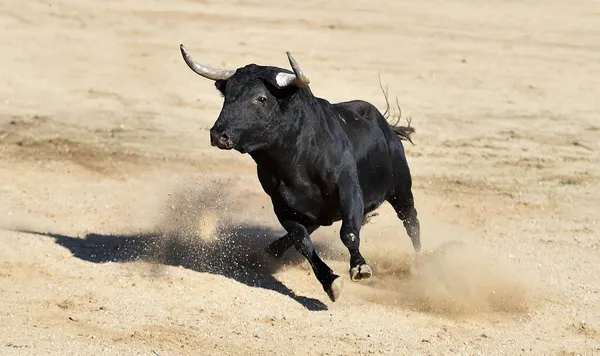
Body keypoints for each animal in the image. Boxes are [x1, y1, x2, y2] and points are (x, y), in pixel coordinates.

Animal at [180, 43, 420, 300]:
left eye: (261, 98)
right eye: (228, 95)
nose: (218, 135)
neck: (297, 161)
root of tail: (387, 127)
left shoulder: (349, 189)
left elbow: (348, 232)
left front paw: (359, 267)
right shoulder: (281, 204)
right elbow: (302, 241)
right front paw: (330, 282)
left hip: (401, 191)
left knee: (411, 223)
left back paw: (420, 264)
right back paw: (270, 251)